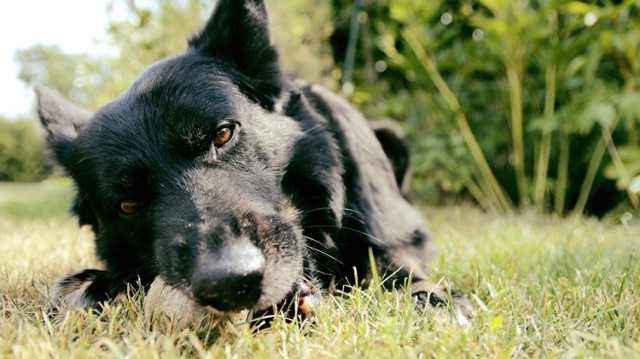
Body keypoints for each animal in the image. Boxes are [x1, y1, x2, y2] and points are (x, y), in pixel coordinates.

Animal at [37, 0, 472, 326]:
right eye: (127, 204)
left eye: (223, 134)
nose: (230, 282)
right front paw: (90, 287)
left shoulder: (397, 236)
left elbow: (391, 262)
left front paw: (428, 297)